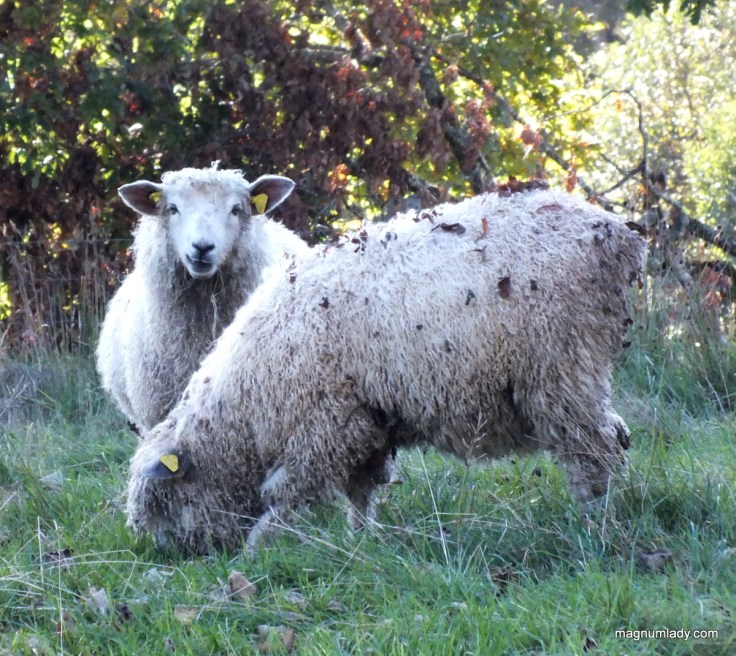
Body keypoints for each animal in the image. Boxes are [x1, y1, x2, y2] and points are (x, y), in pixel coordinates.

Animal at [126, 185, 647, 554]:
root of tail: (618, 234)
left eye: (165, 504)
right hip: (575, 368)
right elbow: (362, 488)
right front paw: (362, 539)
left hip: (560, 363)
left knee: (593, 449)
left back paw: (594, 525)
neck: (246, 402)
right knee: (612, 436)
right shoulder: (364, 422)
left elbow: (287, 494)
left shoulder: (323, 426)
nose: (176, 558)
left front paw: (257, 549)